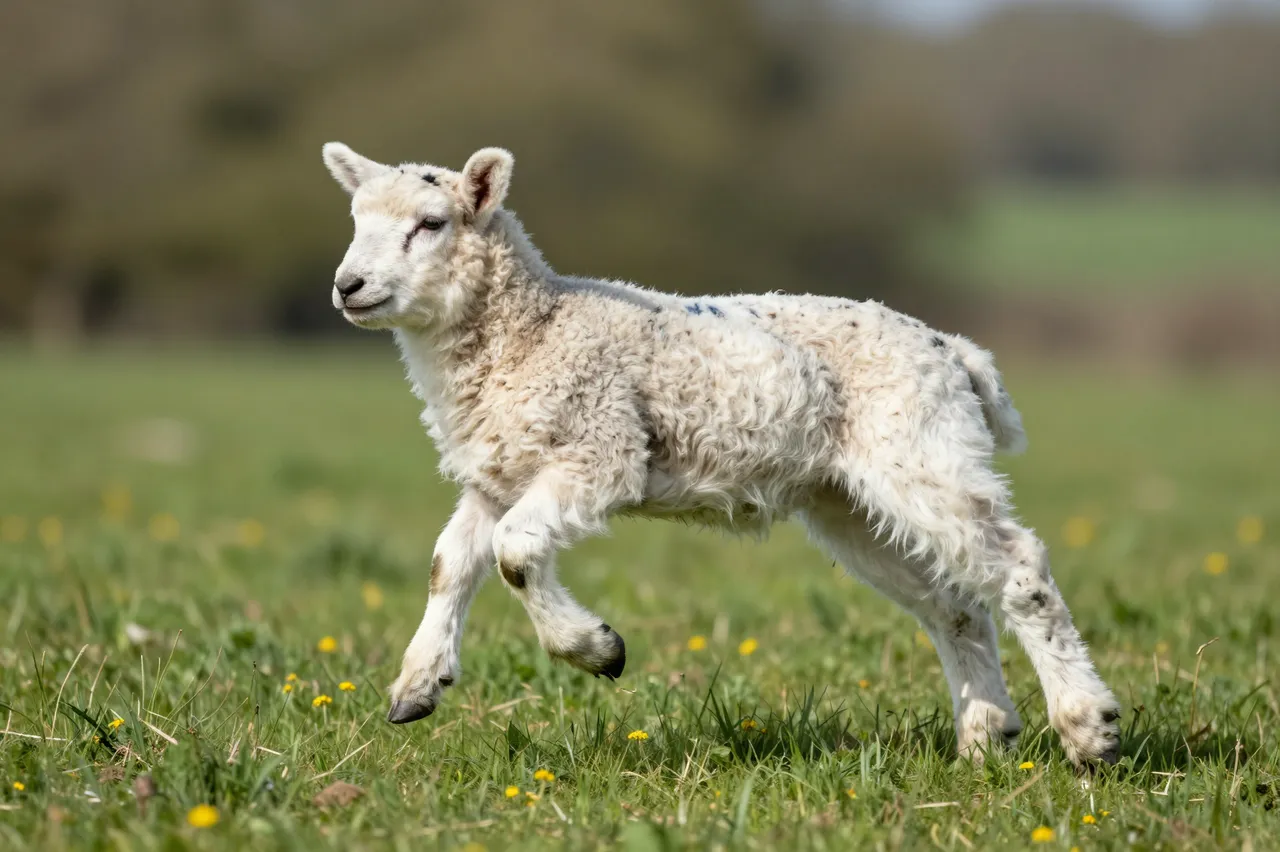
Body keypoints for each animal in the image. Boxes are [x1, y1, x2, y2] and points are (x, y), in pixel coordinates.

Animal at [320, 142, 1121, 769]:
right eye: (355, 221)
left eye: (431, 224)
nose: (347, 286)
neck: (533, 329)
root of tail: (954, 353)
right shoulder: (496, 475)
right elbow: (449, 565)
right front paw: (418, 686)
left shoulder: (600, 448)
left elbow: (516, 553)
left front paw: (598, 649)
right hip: (851, 501)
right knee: (954, 605)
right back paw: (987, 737)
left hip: (919, 448)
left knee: (1019, 567)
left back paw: (1089, 729)